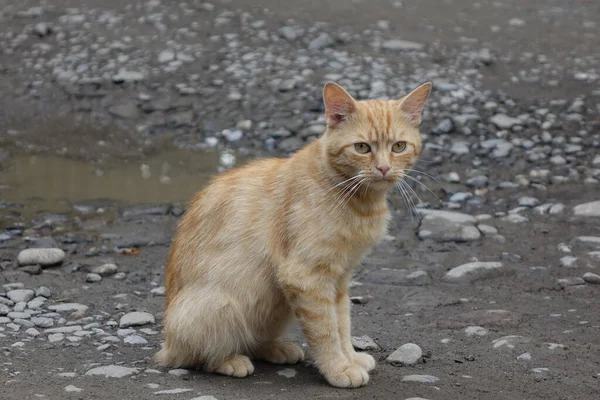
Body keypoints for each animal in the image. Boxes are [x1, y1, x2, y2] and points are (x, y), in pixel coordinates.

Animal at [155, 81, 432, 388]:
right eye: (362, 147)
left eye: (399, 146)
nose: (384, 168)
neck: (356, 199)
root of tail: (167, 344)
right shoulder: (306, 277)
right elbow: (325, 330)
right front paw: (338, 368)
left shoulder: (339, 279)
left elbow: (342, 323)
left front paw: (350, 358)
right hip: (222, 304)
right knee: (198, 356)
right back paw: (229, 360)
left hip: (276, 304)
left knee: (255, 339)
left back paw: (276, 349)